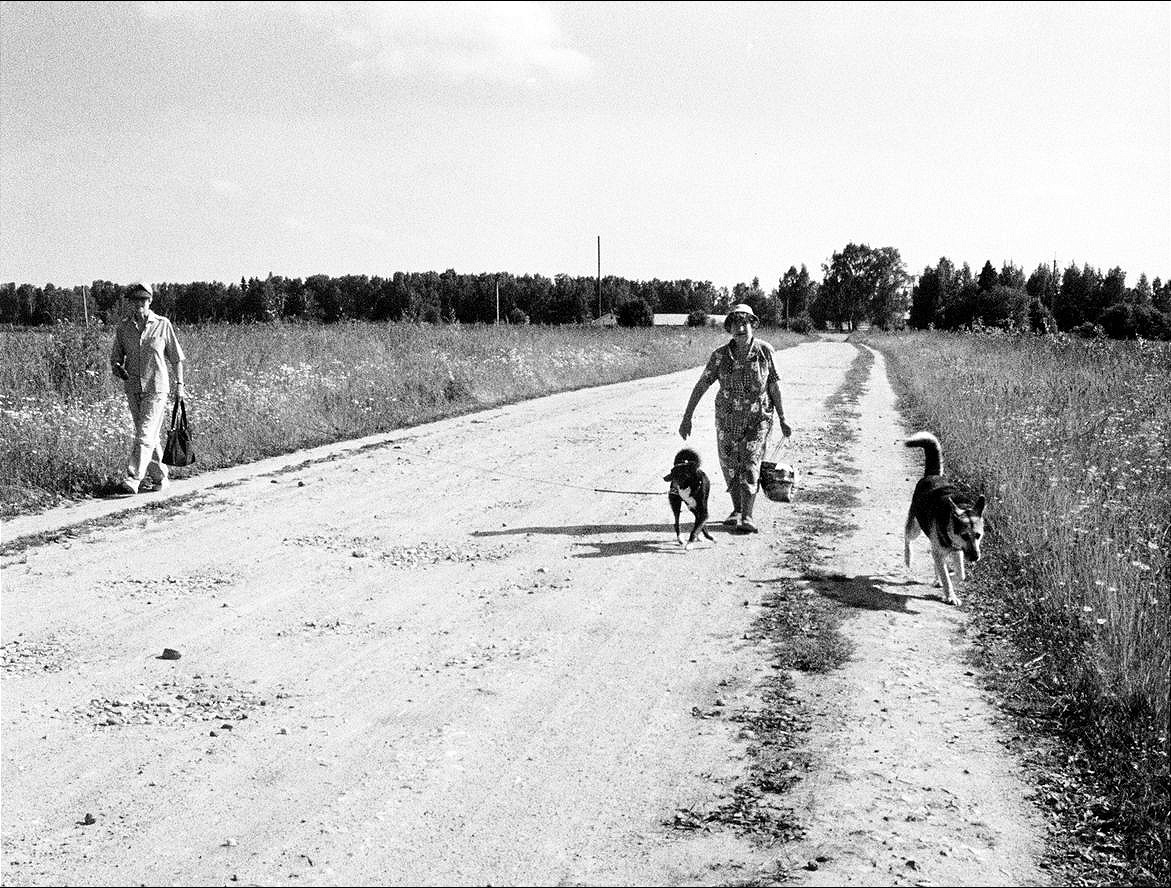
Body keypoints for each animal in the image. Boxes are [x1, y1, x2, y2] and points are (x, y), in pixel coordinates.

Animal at [904, 435, 988, 609]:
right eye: (964, 535)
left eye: (978, 535)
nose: (975, 557)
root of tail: (932, 475)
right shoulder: (943, 552)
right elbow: (947, 578)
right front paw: (950, 596)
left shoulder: (958, 551)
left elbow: (959, 575)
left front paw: (945, 581)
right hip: (915, 528)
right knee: (906, 538)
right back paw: (908, 557)